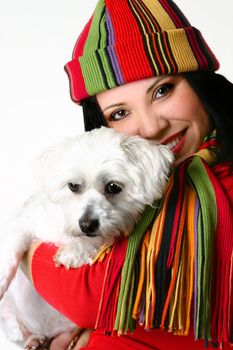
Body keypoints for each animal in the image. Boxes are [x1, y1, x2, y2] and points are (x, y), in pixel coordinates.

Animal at [0, 127, 173, 348]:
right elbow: (10, 248)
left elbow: (95, 241)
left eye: (113, 187)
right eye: (73, 186)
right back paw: (33, 338)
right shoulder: (26, 220)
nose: (86, 224)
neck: (67, 231)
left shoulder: (107, 235)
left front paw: (73, 251)